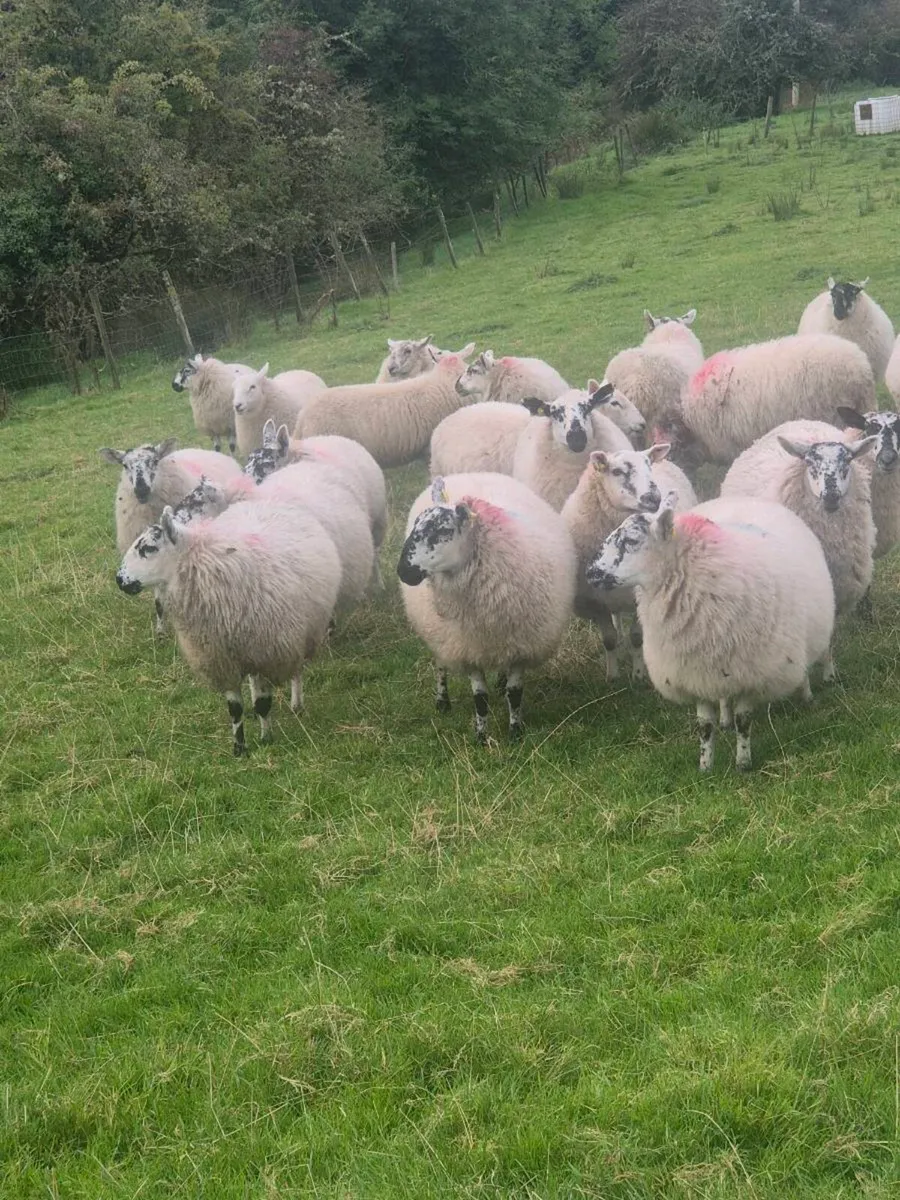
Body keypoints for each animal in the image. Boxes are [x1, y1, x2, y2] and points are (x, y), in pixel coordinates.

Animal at [116, 501, 341, 755]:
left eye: (149, 548)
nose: (119, 580)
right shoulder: (221, 660)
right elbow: (235, 708)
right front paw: (239, 748)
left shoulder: (264, 653)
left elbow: (264, 703)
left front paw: (266, 738)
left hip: (300, 634)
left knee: (297, 670)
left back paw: (296, 702)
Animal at [398, 473, 576, 743]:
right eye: (417, 524)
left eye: (444, 530)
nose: (402, 571)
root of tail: (465, 474)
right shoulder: (468, 648)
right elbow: (480, 698)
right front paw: (481, 737)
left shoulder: (522, 645)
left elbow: (515, 692)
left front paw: (515, 732)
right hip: (440, 634)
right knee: (440, 664)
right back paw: (442, 701)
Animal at [561, 444, 697, 680]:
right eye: (617, 471)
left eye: (648, 465)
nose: (654, 497)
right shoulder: (597, 601)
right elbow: (609, 640)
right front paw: (612, 676)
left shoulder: (638, 599)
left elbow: (637, 638)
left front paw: (638, 674)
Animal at [586, 493, 835, 772]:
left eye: (631, 541)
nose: (589, 573)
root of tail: (745, 499)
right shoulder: (695, 673)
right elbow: (704, 726)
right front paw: (705, 766)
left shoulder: (752, 673)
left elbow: (744, 720)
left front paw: (743, 763)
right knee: (725, 697)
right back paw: (725, 719)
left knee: (807, 664)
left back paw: (807, 693)